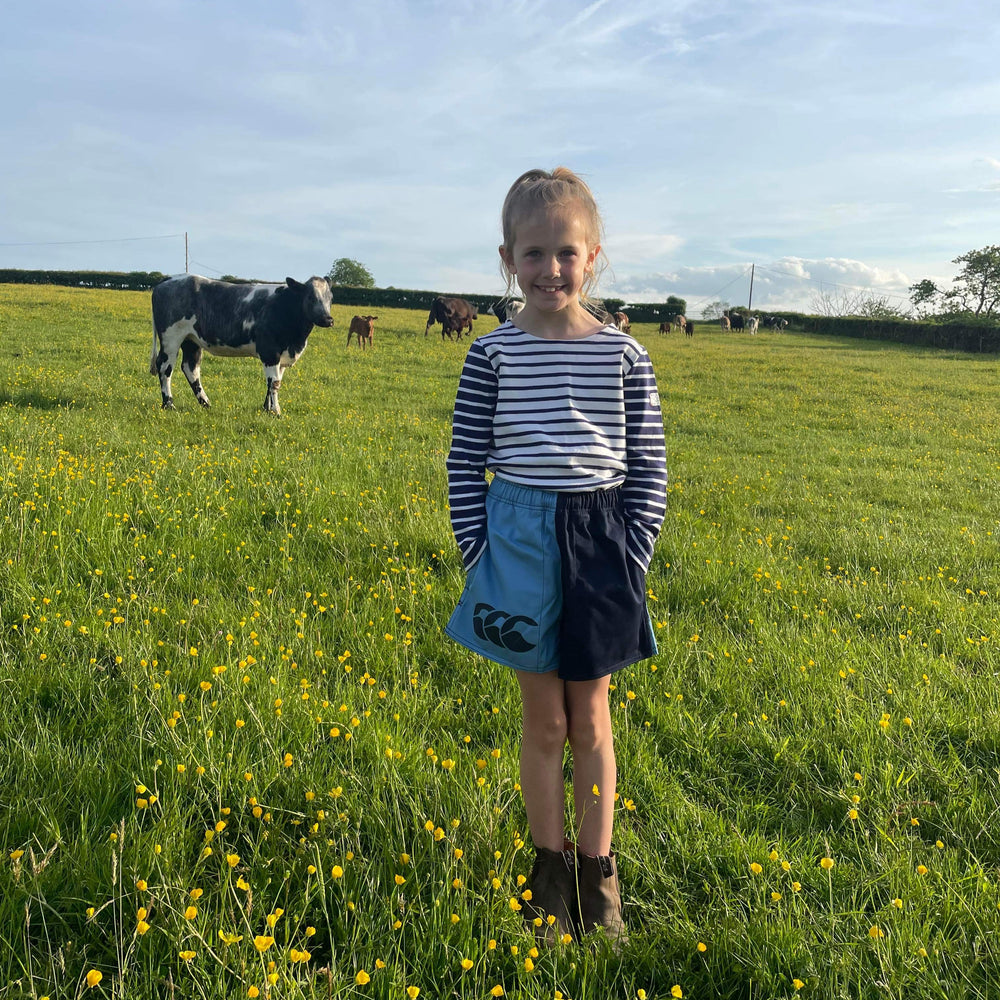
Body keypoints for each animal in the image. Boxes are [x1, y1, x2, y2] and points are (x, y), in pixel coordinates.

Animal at [150, 274, 334, 414]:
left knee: (190, 368)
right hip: (171, 338)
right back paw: (169, 404)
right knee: (165, 367)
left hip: (191, 340)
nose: (328, 319)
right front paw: (276, 412)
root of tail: (170, 279)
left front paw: (267, 409)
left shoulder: (282, 356)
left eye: (330, 298)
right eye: (310, 297)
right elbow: (274, 382)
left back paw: (206, 403)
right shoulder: (270, 352)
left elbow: (273, 383)